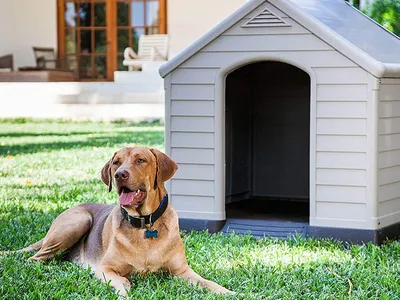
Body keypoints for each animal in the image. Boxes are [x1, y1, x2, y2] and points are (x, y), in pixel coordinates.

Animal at [11, 146, 231, 296]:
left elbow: (207, 282)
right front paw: (124, 292)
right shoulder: (106, 268)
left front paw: (228, 292)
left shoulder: (182, 271)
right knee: (36, 259)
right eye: (116, 162)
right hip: (79, 220)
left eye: (141, 160)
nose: (119, 175)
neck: (145, 224)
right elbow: (123, 282)